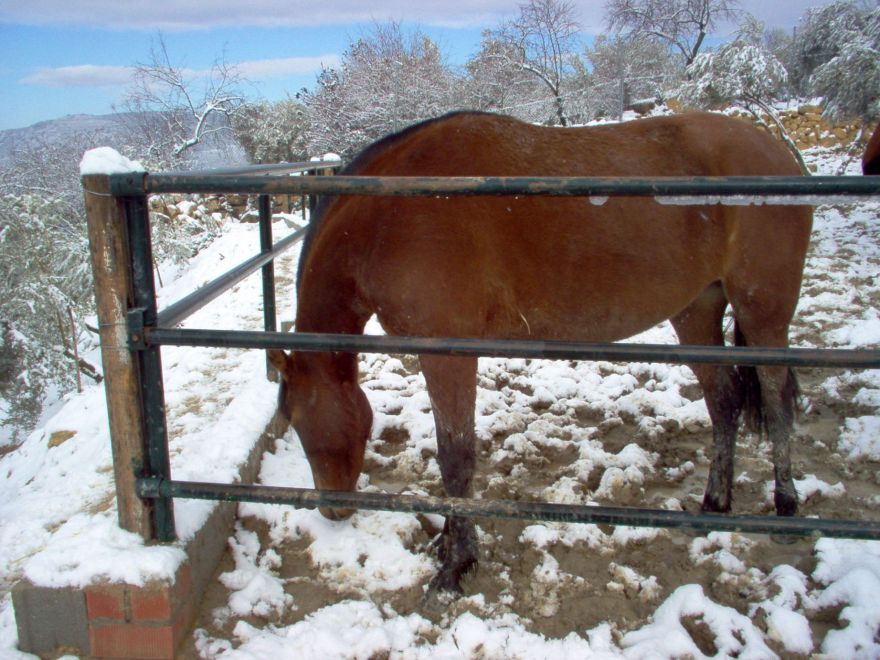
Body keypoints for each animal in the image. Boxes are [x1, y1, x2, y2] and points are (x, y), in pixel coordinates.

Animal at [266, 111, 812, 596]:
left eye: (300, 424)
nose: (332, 510)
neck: (388, 215)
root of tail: (781, 152)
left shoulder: (447, 354)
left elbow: (456, 458)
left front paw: (457, 565)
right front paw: (448, 546)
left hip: (763, 313)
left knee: (775, 402)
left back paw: (787, 508)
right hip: (697, 310)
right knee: (724, 402)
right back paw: (714, 504)